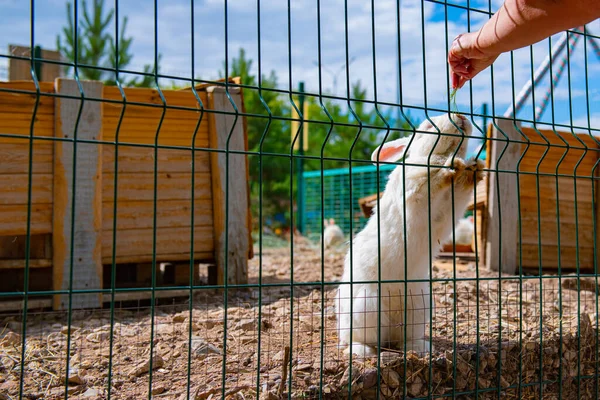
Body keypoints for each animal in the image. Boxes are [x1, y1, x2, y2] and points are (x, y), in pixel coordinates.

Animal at [336, 112, 486, 356]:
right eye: (428, 126)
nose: (461, 116)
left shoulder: (448, 210)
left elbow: (457, 195)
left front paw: (474, 168)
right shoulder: (413, 189)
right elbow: (427, 177)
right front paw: (450, 164)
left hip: (419, 307)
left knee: (403, 339)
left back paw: (420, 348)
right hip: (365, 306)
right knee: (361, 338)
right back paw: (362, 351)